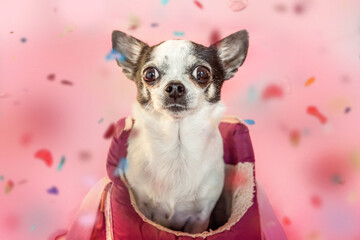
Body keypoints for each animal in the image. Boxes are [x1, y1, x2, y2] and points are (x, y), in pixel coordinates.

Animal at [111, 29, 249, 233]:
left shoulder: (199, 219)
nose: (175, 86)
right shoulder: (144, 210)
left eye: (202, 73)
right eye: (150, 74)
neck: (177, 145)